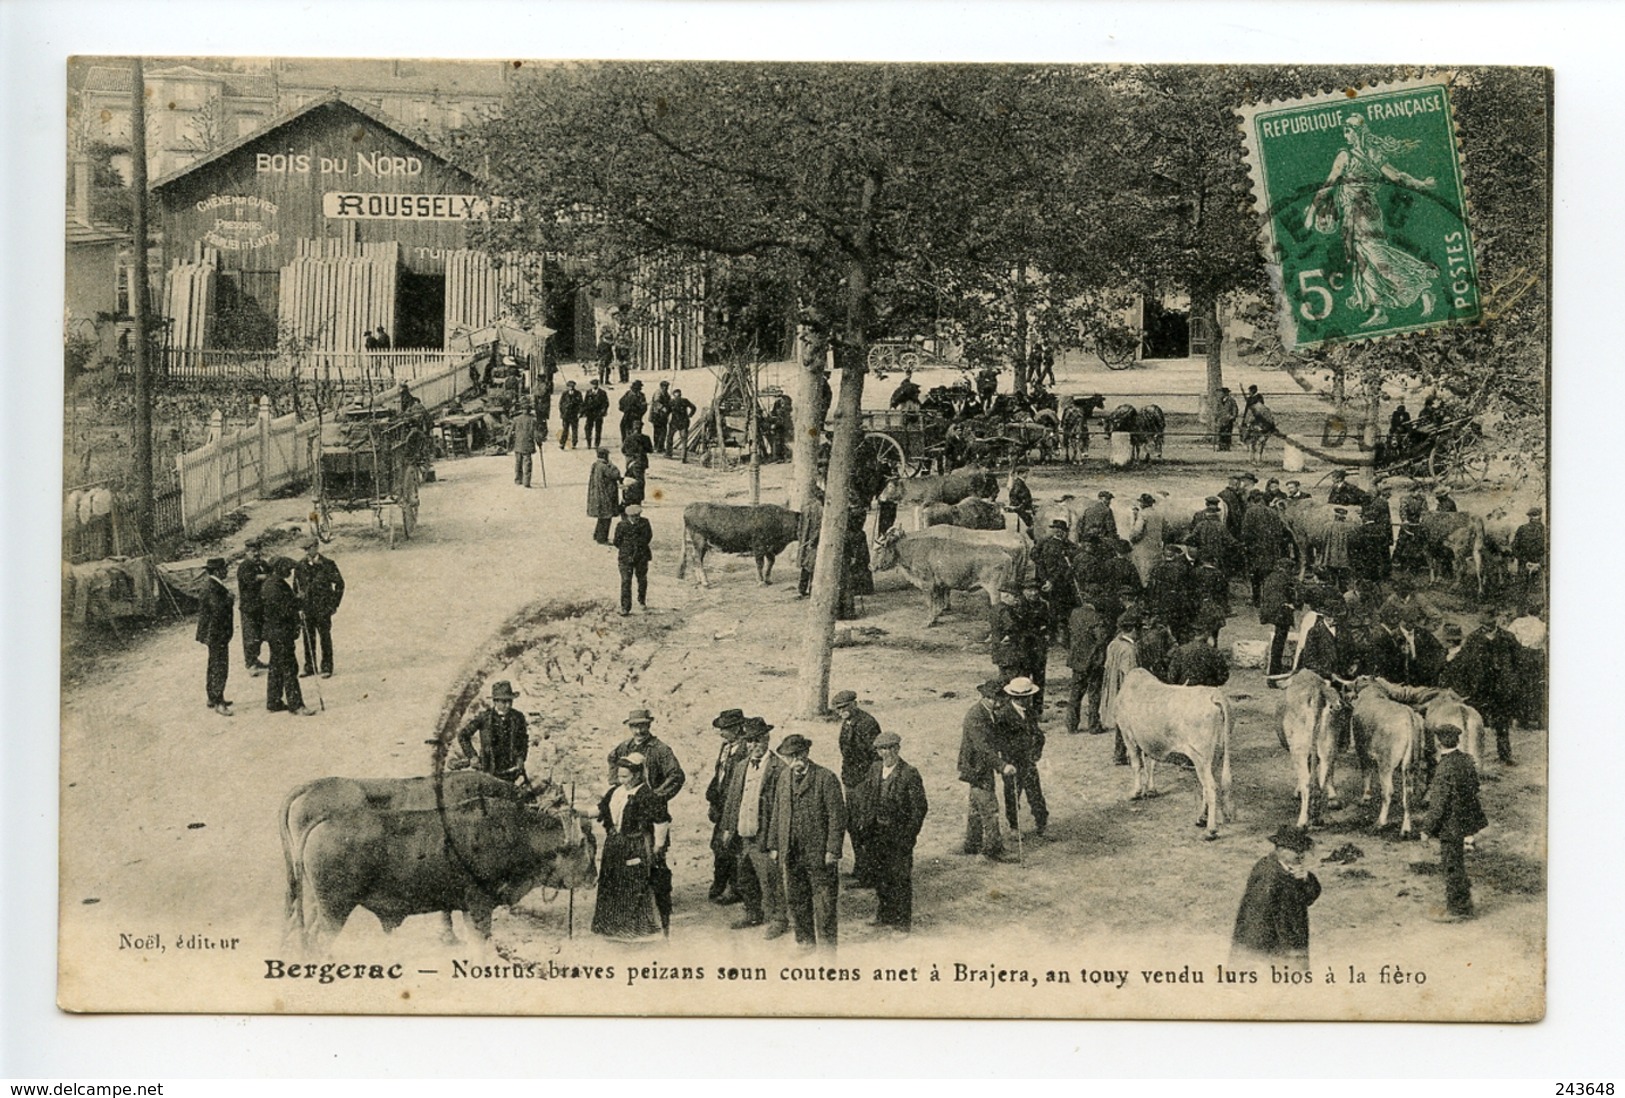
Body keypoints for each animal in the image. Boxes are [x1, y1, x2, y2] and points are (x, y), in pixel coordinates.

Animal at [281, 773, 598, 955]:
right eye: (589, 845)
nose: (593, 877)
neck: (515, 831)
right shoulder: (479, 905)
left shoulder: (468, 906)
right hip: (334, 911)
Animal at [871, 529, 1020, 630]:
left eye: (878, 549)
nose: (870, 566)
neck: (914, 550)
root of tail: (1005, 554)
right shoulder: (938, 586)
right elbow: (938, 603)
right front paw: (936, 618)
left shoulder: (927, 585)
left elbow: (930, 604)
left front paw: (928, 622)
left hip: (995, 591)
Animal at [1111, 669, 1235, 838]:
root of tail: (1214, 694)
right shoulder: (1151, 741)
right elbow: (1151, 764)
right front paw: (1150, 790)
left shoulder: (1128, 735)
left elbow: (1137, 765)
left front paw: (1134, 793)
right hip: (1217, 754)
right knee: (1213, 783)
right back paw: (1201, 819)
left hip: (1201, 756)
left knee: (1210, 786)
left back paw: (1210, 830)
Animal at [1274, 669, 1352, 831]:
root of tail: (1317, 691)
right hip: (1328, 744)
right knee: (1323, 776)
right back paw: (1318, 817)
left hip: (1299, 749)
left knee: (1307, 783)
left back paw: (1303, 821)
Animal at [1345, 672, 1423, 838]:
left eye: (1356, 680)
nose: (1346, 687)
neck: (1373, 692)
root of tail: (1408, 717)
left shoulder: (1362, 750)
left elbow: (1366, 772)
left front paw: (1365, 797)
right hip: (1411, 765)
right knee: (1408, 793)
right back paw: (1405, 829)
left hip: (1386, 764)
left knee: (1388, 792)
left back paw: (1380, 823)